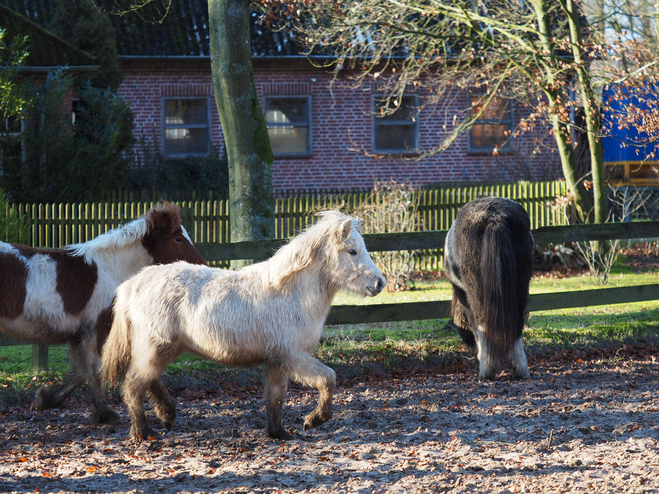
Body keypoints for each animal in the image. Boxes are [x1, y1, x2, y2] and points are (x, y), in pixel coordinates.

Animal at [0, 203, 208, 422]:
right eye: (178, 239)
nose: (203, 266)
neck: (111, 269)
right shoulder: (97, 329)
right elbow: (95, 369)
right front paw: (105, 413)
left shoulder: (80, 334)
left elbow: (82, 372)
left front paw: (45, 399)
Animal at [100, 210, 384, 442]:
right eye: (352, 251)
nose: (379, 283)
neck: (291, 293)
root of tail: (132, 285)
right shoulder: (293, 355)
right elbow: (328, 379)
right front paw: (314, 420)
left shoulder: (277, 360)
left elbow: (276, 397)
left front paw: (279, 433)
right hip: (156, 348)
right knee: (134, 384)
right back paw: (143, 432)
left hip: (162, 349)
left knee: (147, 380)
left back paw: (166, 415)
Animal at [446, 197, 532, 378]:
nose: (467, 344)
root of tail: (495, 217)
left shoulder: (464, 296)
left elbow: (474, 325)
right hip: (520, 287)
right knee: (517, 324)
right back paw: (521, 369)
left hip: (476, 293)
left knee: (481, 324)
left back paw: (487, 369)